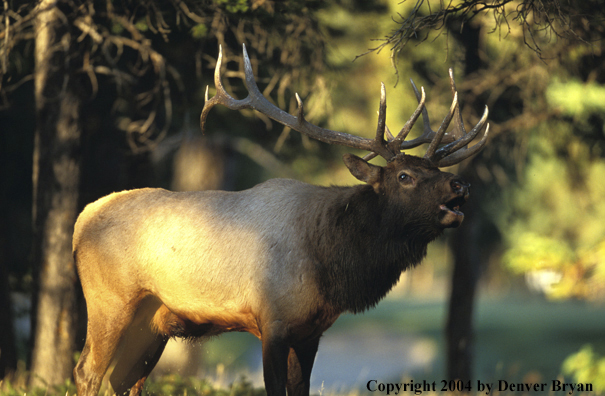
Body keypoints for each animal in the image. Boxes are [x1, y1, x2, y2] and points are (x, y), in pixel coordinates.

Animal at [72, 44, 486, 396]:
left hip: (152, 324)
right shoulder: (271, 321)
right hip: (109, 301)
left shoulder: (310, 332)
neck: (330, 263)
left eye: (434, 169)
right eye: (404, 176)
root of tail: (80, 222)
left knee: (123, 380)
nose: (461, 184)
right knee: (87, 372)